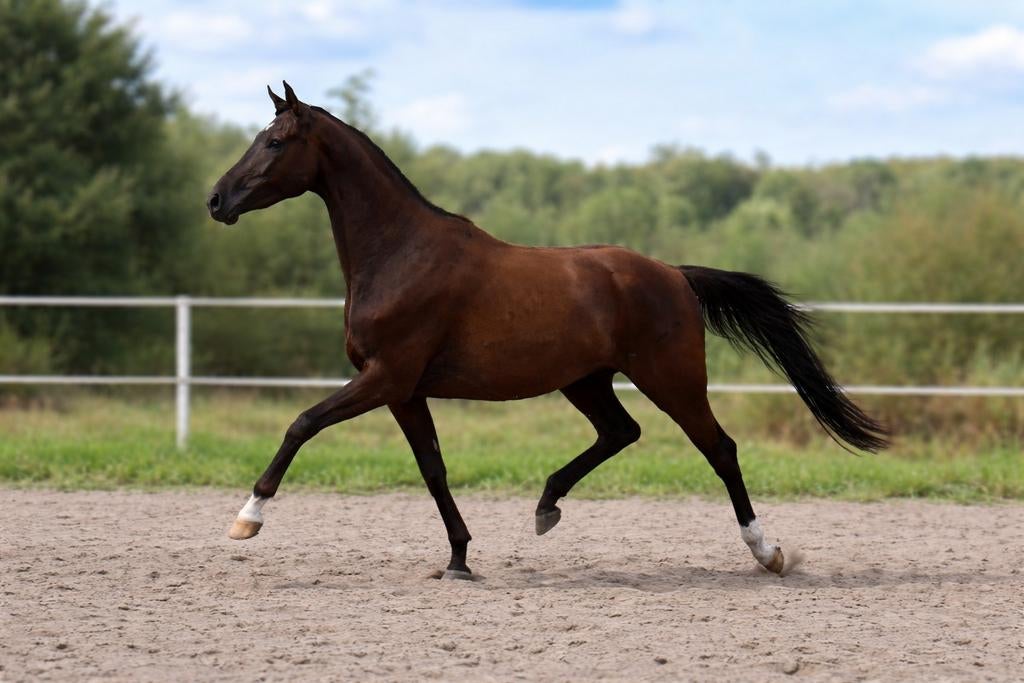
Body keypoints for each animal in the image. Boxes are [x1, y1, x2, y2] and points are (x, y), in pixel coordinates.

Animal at [207, 82, 888, 579]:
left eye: (274, 142)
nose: (216, 200)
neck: (401, 253)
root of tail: (674, 274)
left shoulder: (385, 377)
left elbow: (302, 424)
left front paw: (247, 519)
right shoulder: (404, 391)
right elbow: (433, 468)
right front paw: (459, 559)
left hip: (671, 379)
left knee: (719, 449)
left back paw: (767, 554)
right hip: (586, 381)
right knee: (621, 432)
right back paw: (545, 506)